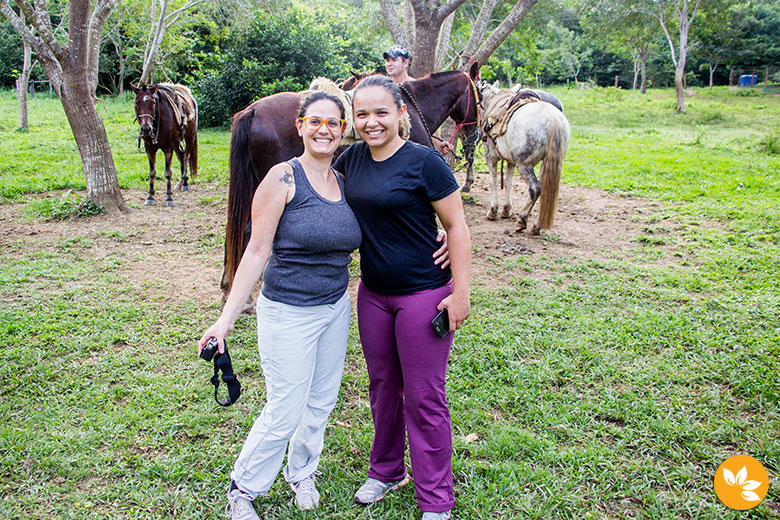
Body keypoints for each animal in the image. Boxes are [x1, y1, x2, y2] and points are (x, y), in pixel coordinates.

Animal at [478, 83, 568, 234]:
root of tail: (553, 120)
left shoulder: (491, 158)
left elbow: (493, 182)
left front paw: (493, 211)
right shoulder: (511, 161)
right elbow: (508, 182)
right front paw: (506, 210)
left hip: (524, 165)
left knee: (535, 189)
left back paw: (522, 220)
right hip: (547, 163)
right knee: (545, 190)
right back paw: (537, 226)